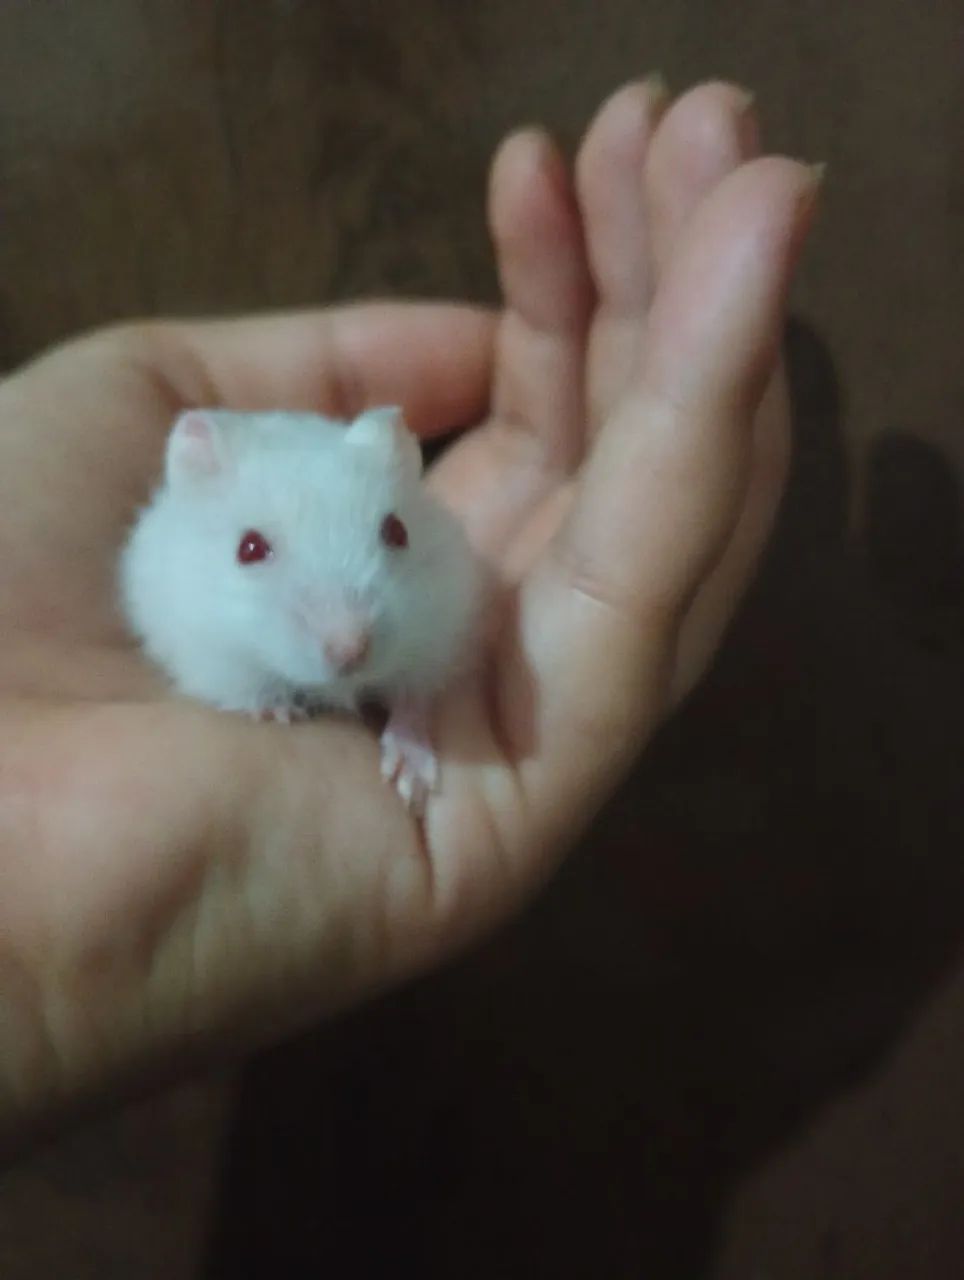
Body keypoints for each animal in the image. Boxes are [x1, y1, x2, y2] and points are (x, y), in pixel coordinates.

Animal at [119, 405, 482, 812]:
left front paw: (412, 782)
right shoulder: (212, 657)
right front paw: (282, 710)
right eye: (249, 548)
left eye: (398, 531)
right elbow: (252, 688)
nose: (350, 652)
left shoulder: (433, 636)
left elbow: (411, 700)